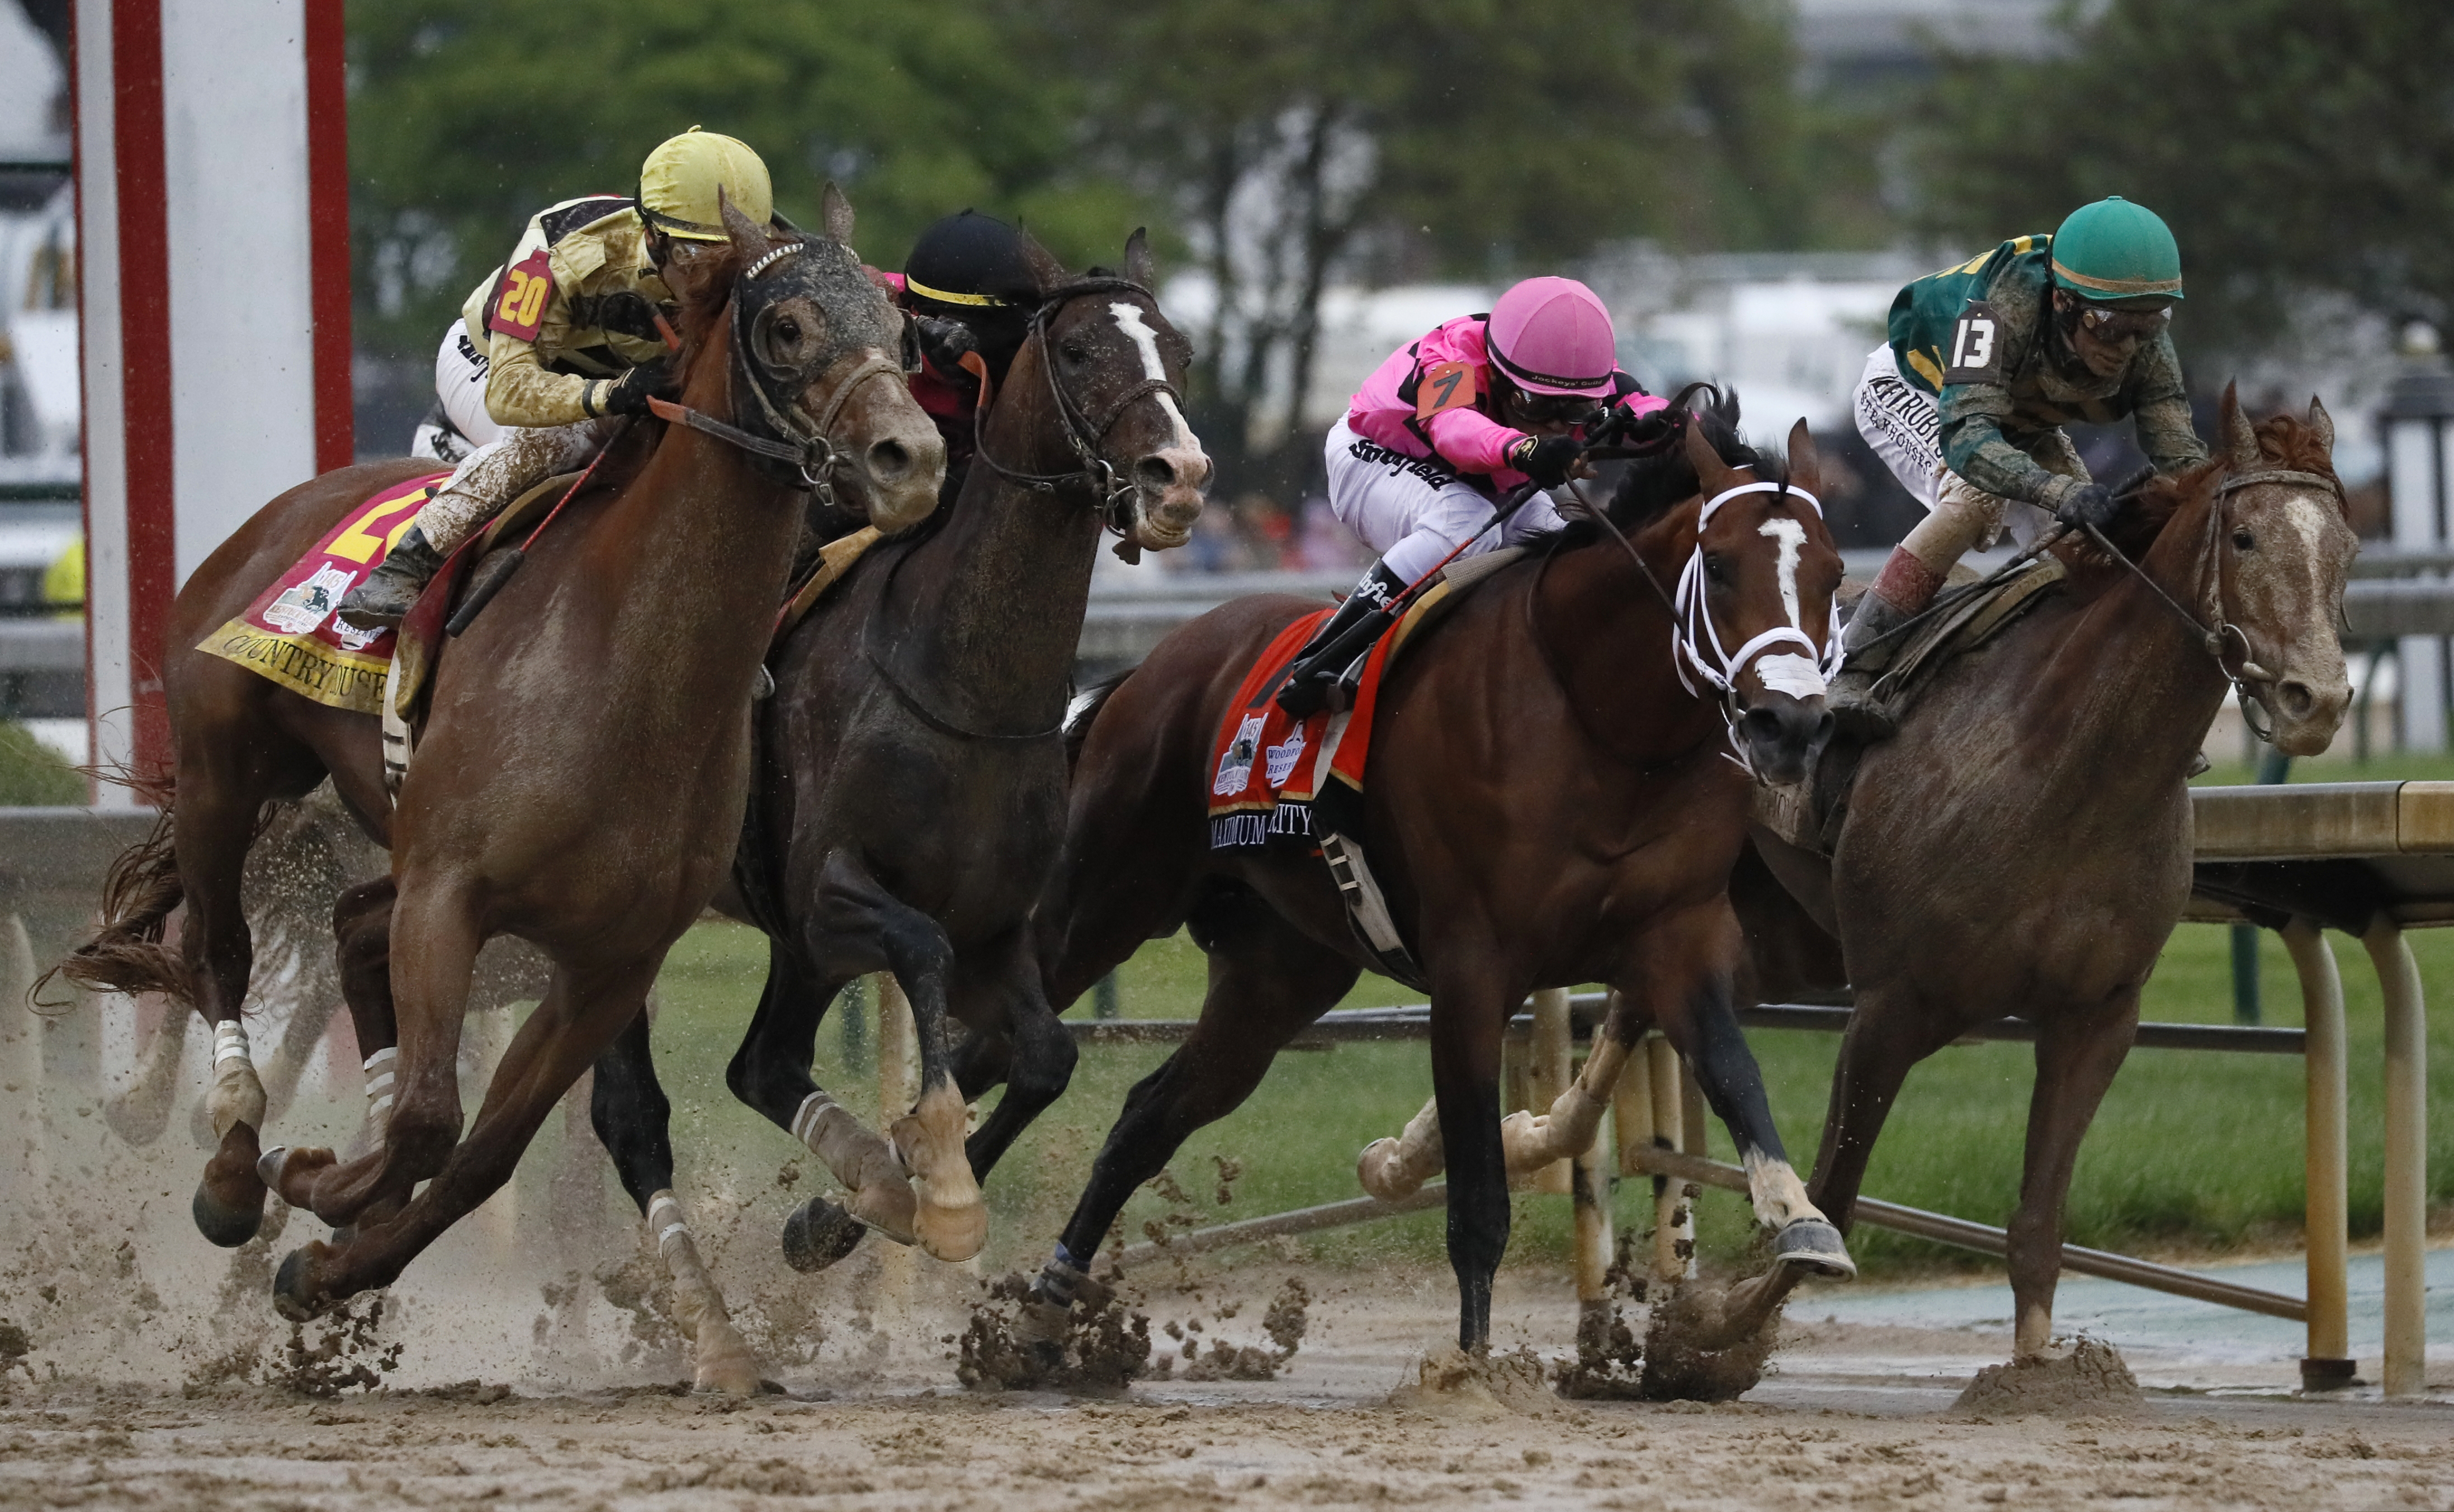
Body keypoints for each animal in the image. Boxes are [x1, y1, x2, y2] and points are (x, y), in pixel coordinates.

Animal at [55, 192, 944, 1366]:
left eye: (901, 338)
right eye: (787, 327)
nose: (912, 457)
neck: (625, 669)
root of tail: (279, 513)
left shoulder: (609, 960)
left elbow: (477, 1154)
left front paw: (328, 1264)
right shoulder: (451, 896)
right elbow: (431, 1117)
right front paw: (312, 1183)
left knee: (346, 927)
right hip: (224, 768)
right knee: (218, 950)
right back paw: (236, 1165)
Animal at [581, 229, 1211, 1279]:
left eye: (1180, 349)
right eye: (1079, 348)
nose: (1179, 475)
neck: (961, 684)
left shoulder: (996, 924)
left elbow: (1048, 1059)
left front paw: (849, 1215)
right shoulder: (831, 895)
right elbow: (921, 949)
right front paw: (936, 1183)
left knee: (762, 1064)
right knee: (635, 1106)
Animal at [1016, 408, 1857, 1353]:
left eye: (1832, 575)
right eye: (1717, 565)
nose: (1788, 724)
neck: (1604, 721)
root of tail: (1157, 661)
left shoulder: (1677, 939)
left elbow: (1737, 1077)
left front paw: (1802, 1223)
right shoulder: (1471, 968)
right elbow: (1479, 1199)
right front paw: (1470, 1366)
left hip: (1278, 973)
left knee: (1148, 1113)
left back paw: (1045, 1299)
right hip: (1108, 892)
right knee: (1013, 1020)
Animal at [1716, 387, 2355, 1363]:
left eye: (2347, 547)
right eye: (2244, 538)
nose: (2315, 702)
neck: (2060, 766)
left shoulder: (2096, 1014)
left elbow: (2037, 1225)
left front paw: (2033, 1370)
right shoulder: (1890, 1007)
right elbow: (1834, 1189)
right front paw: (1709, 1335)